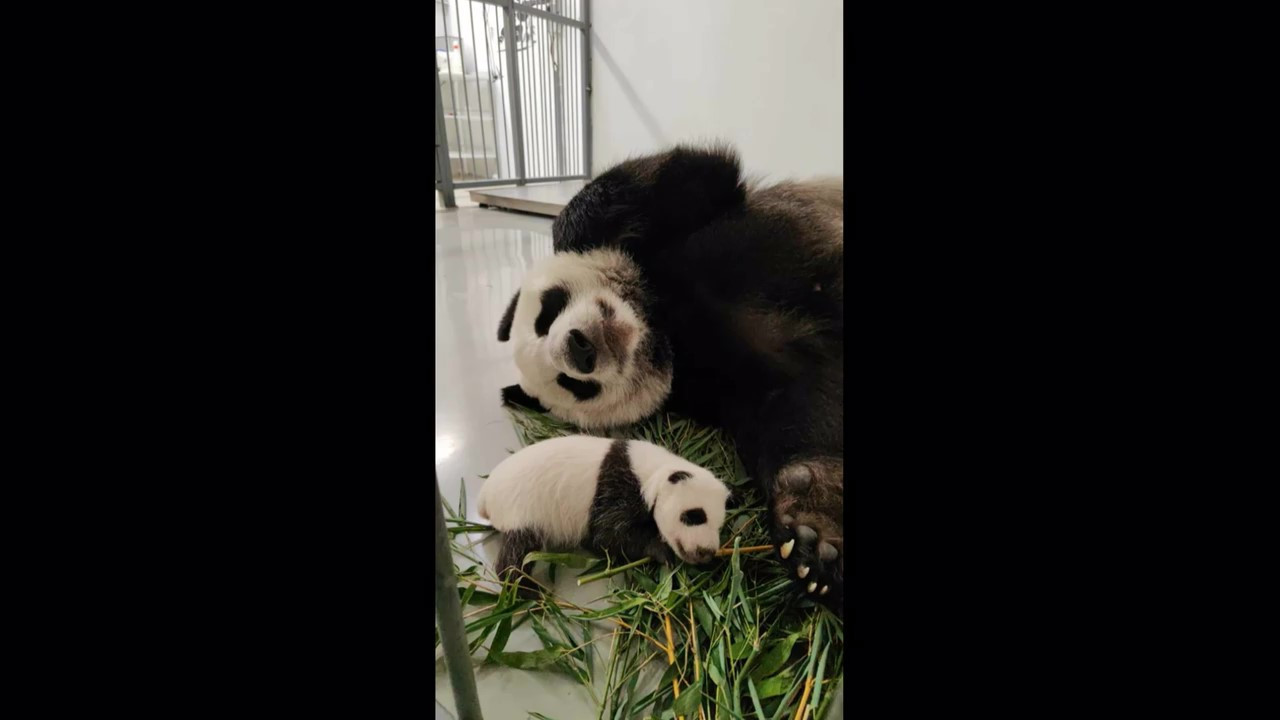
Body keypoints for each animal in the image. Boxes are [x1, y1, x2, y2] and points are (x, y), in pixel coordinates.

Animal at [494, 142, 844, 607]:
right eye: (573, 385)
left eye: (545, 316)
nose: (579, 351)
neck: (664, 329)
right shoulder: (727, 384)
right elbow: (802, 409)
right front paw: (813, 527)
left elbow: (679, 174)